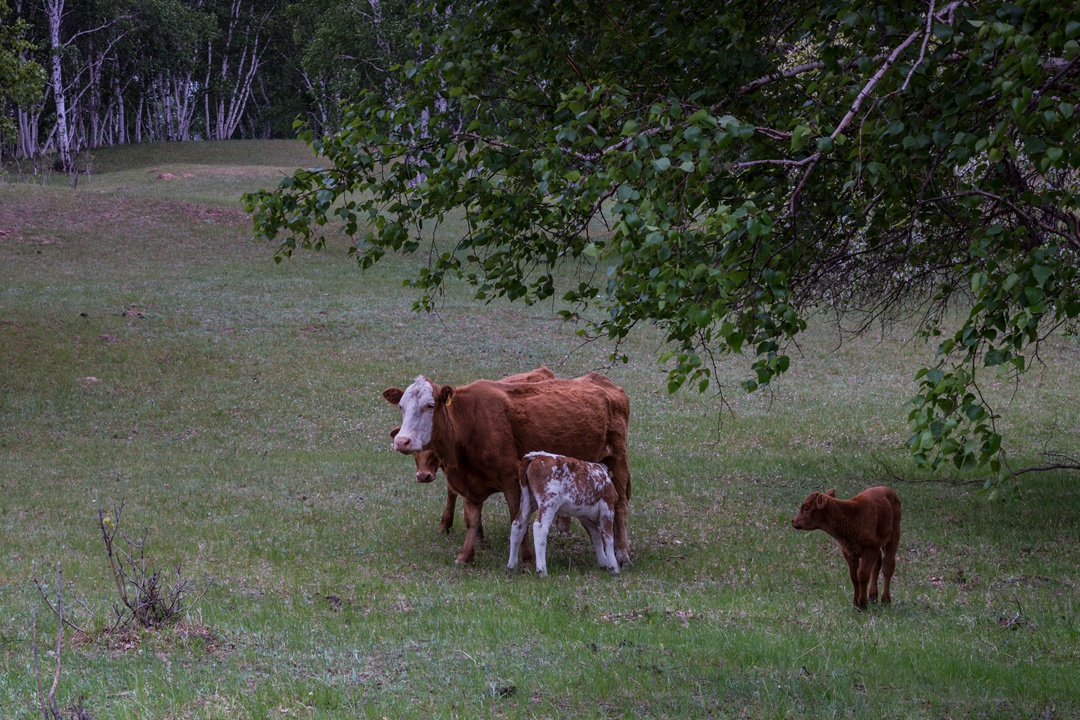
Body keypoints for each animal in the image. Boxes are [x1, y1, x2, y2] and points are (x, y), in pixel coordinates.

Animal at [382, 375, 630, 565]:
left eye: (429, 405)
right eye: (402, 407)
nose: (402, 441)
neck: (470, 424)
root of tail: (601, 381)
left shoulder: (512, 481)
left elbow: (517, 519)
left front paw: (527, 558)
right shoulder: (469, 484)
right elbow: (472, 521)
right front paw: (465, 556)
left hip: (617, 459)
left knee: (620, 506)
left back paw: (622, 554)